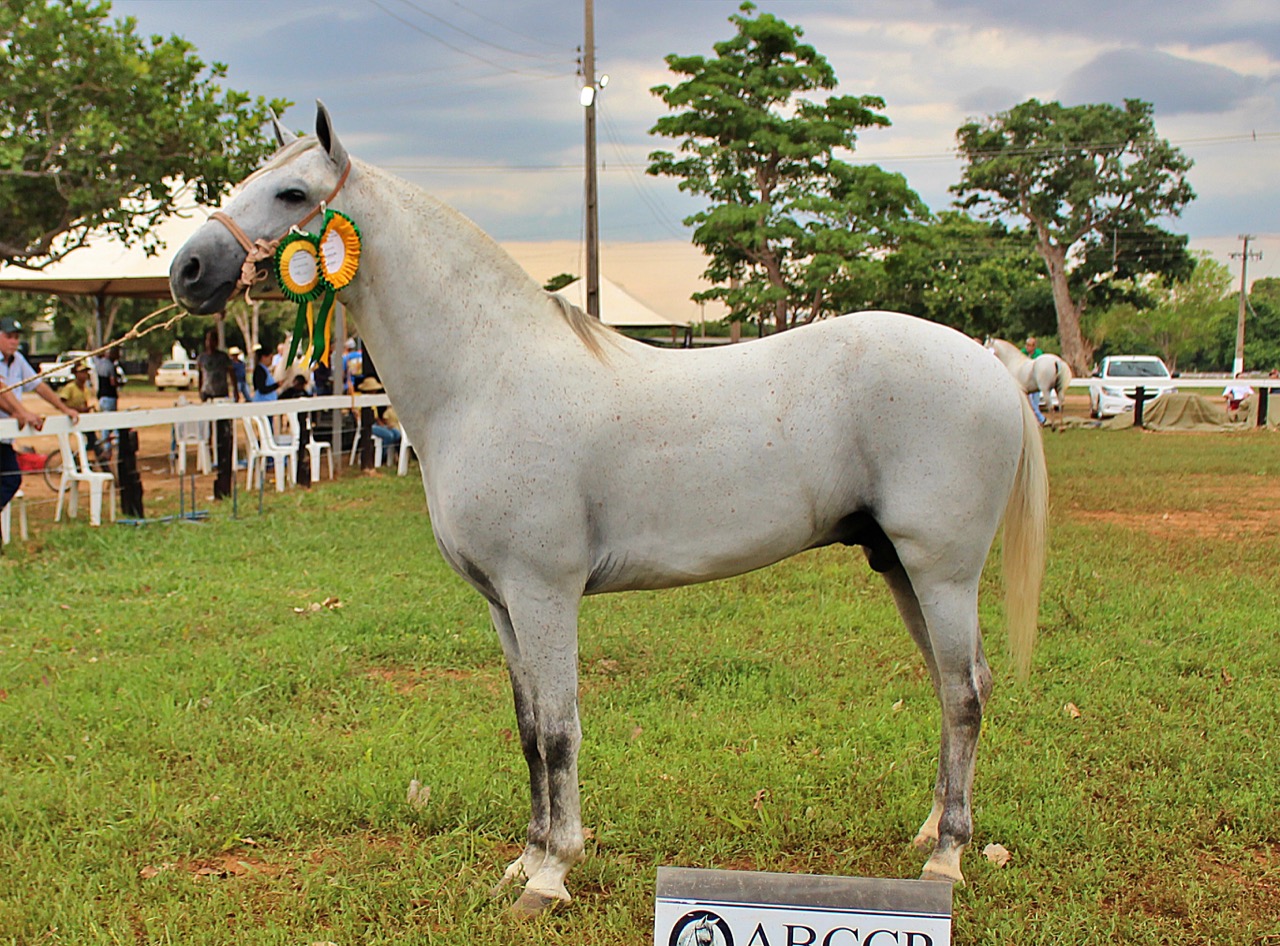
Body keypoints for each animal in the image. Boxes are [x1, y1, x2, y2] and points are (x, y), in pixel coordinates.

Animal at [170, 103, 1049, 916]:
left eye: (291, 192)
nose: (188, 269)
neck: (487, 376)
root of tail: (993, 367)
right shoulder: (502, 603)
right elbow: (529, 730)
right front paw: (523, 861)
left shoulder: (545, 593)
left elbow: (561, 730)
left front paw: (552, 876)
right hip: (897, 565)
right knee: (951, 685)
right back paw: (929, 832)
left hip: (941, 571)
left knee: (965, 693)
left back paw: (948, 859)